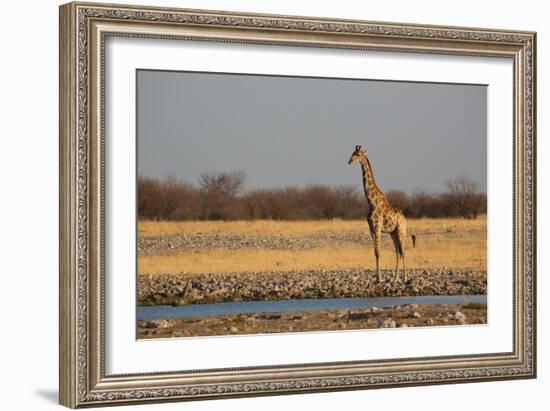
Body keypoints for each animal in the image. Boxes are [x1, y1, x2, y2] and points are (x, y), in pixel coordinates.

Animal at [350, 145, 410, 284]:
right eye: (352, 153)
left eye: (358, 154)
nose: (349, 161)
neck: (371, 202)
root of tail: (405, 219)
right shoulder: (371, 229)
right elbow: (375, 252)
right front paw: (377, 278)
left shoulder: (377, 228)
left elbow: (379, 252)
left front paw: (380, 278)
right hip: (393, 233)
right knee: (398, 252)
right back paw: (395, 278)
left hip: (401, 231)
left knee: (403, 251)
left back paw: (404, 278)